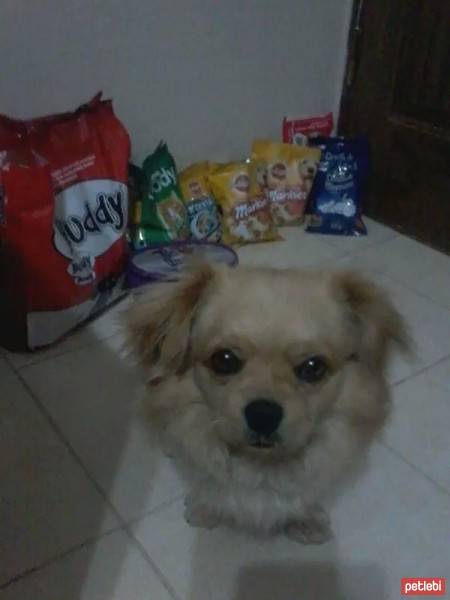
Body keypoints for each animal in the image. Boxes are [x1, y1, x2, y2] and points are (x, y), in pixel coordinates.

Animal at [124, 262, 408, 544]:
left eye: (313, 367)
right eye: (224, 360)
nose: (263, 414)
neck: (261, 466)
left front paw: (307, 520)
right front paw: (206, 510)